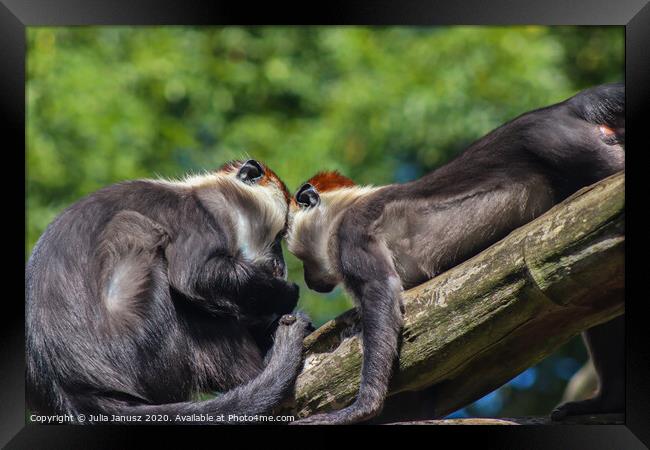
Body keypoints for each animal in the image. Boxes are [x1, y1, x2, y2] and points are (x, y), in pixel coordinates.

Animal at [24, 159, 308, 422]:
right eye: (277, 236)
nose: (280, 265)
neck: (208, 195)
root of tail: (74, 391)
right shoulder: (194, 218)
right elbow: (197, 277)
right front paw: (287, 293)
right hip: (144, 347)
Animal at [288, 84, 624, 426]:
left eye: (303, 258)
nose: (310, 279)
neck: (344, 208)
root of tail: (566, 106)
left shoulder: (352, 232)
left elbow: (380, 291)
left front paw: (363, 406)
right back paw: (607, 401)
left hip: (559, 142)